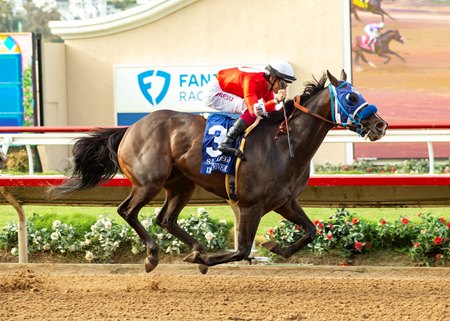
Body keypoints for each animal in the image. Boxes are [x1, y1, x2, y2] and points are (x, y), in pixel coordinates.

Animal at [48, 69, 386, 272]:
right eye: (351, 96)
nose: (380, 125)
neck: (283, 144)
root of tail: (131, 127)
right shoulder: (249, 205)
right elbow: (242, 250)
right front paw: (206, 259)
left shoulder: (284, 201)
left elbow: (310, 231)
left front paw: (274, 246)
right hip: (148, 182)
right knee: (127, 211)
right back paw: (153, 254)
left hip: (181, 184)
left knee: (165, 218)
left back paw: (194, 247)